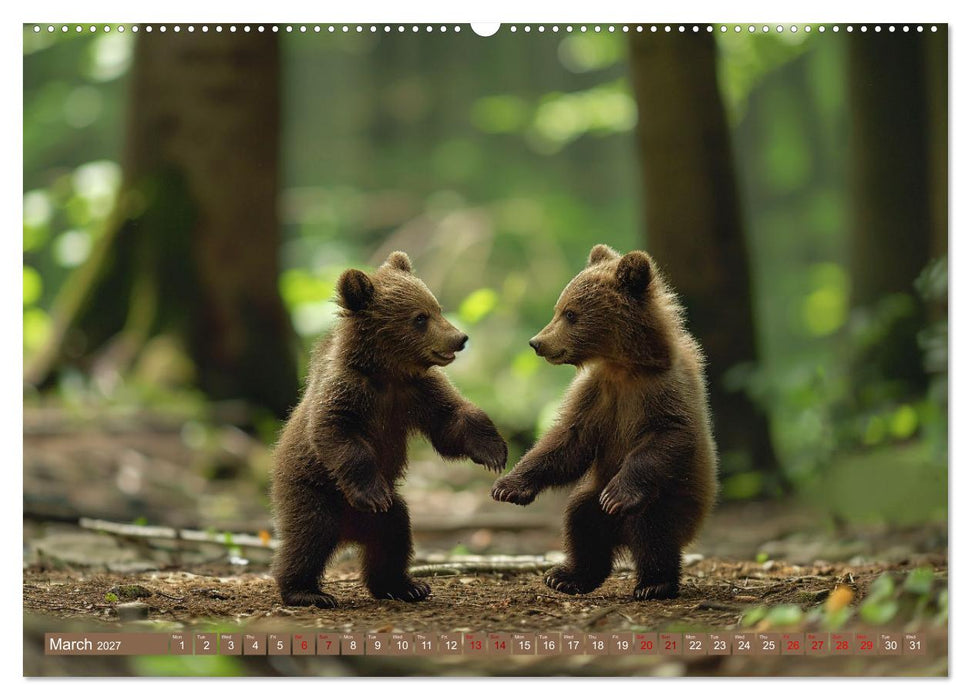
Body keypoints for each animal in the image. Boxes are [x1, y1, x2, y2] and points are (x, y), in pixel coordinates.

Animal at [271, 251, 508, 607]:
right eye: (420, 318)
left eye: (437, 307)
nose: (460, 338)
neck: (386, 373)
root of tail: (349, 534)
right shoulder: (347, 393)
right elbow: (335, 432)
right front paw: (371, 492)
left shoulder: (416, 393)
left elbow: (451, 422)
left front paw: (493, 451)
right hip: (313, 491)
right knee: (308, 536)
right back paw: (305, 591)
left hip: (386, 518)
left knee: (393, 535)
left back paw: (404, 585)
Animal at [491, 244, 718, 600]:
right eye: (559, 308)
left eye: (571, 313)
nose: (537, 342)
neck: (624, 366)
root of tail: (620, 536)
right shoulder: (596, 395)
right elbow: (568, 440)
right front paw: (508, 486)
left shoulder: (663, 391)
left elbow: (670, 434)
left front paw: (618, 495)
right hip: (591, 499)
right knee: (581, 521)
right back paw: (569, 575)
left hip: (673, 499)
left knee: (653, 531)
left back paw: (654, 582)